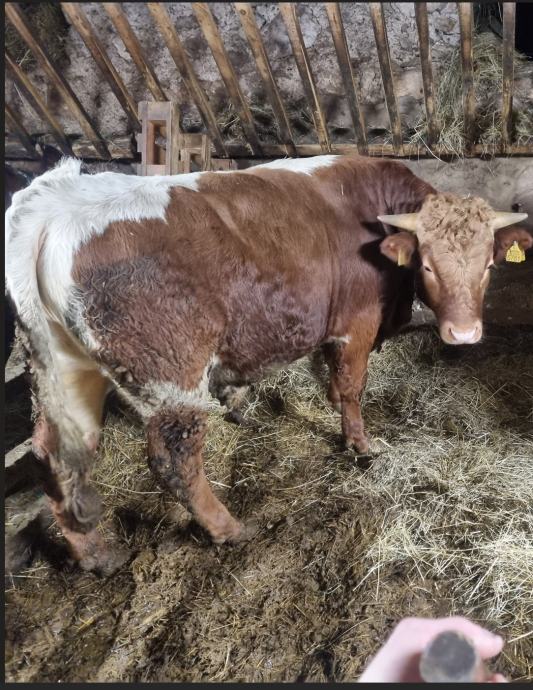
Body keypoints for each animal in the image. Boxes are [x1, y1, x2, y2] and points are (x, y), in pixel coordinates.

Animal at [5, 154, 530, 574]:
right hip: (172, 377)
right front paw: (360, 445)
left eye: (489, 264)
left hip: (65, 374)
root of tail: (52, 202)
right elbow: (352, 386)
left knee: (56, 459)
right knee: (173, 461)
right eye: (426, 265)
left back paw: (96, 556)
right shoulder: (356, 323)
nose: (464, 333)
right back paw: (229, 529)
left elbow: (330, 378)